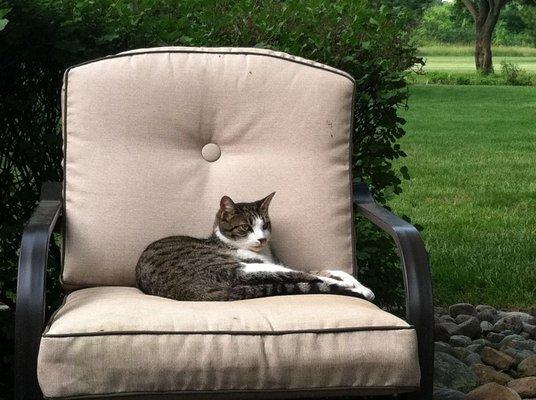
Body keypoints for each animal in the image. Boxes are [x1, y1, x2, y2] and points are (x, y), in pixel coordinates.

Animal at [136, 192, 374, 302]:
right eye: (245, 227)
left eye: (265, 224)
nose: (261, 239)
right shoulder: (268, 263)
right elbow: (314, 273)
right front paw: (356, 287)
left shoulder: (281, 261)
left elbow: (332, 270)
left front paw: (361, 285)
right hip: (238, 266)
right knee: (301, 277)